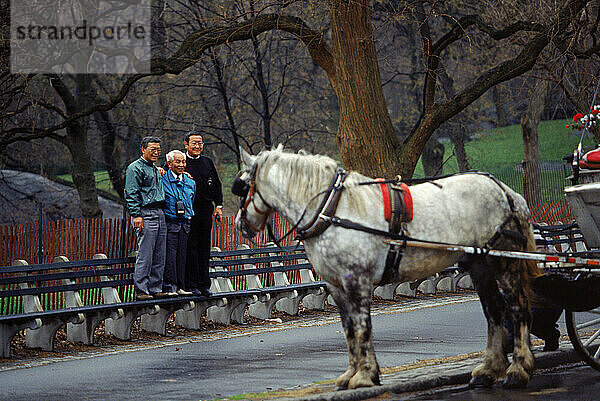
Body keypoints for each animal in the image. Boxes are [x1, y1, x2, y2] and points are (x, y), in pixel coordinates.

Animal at [233, 145, 540, 390]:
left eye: (242, 187)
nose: (240, 224)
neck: (331, 210)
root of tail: (506, 191)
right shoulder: (336, 285)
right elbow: (349, 328)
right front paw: (351, 374)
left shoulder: (357, 281)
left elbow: (362, 327)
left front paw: (365, 375)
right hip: (479, 265)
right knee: (494, 311)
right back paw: (489, 369)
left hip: (504, 261)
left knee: (516, 308)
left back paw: (518, 369)